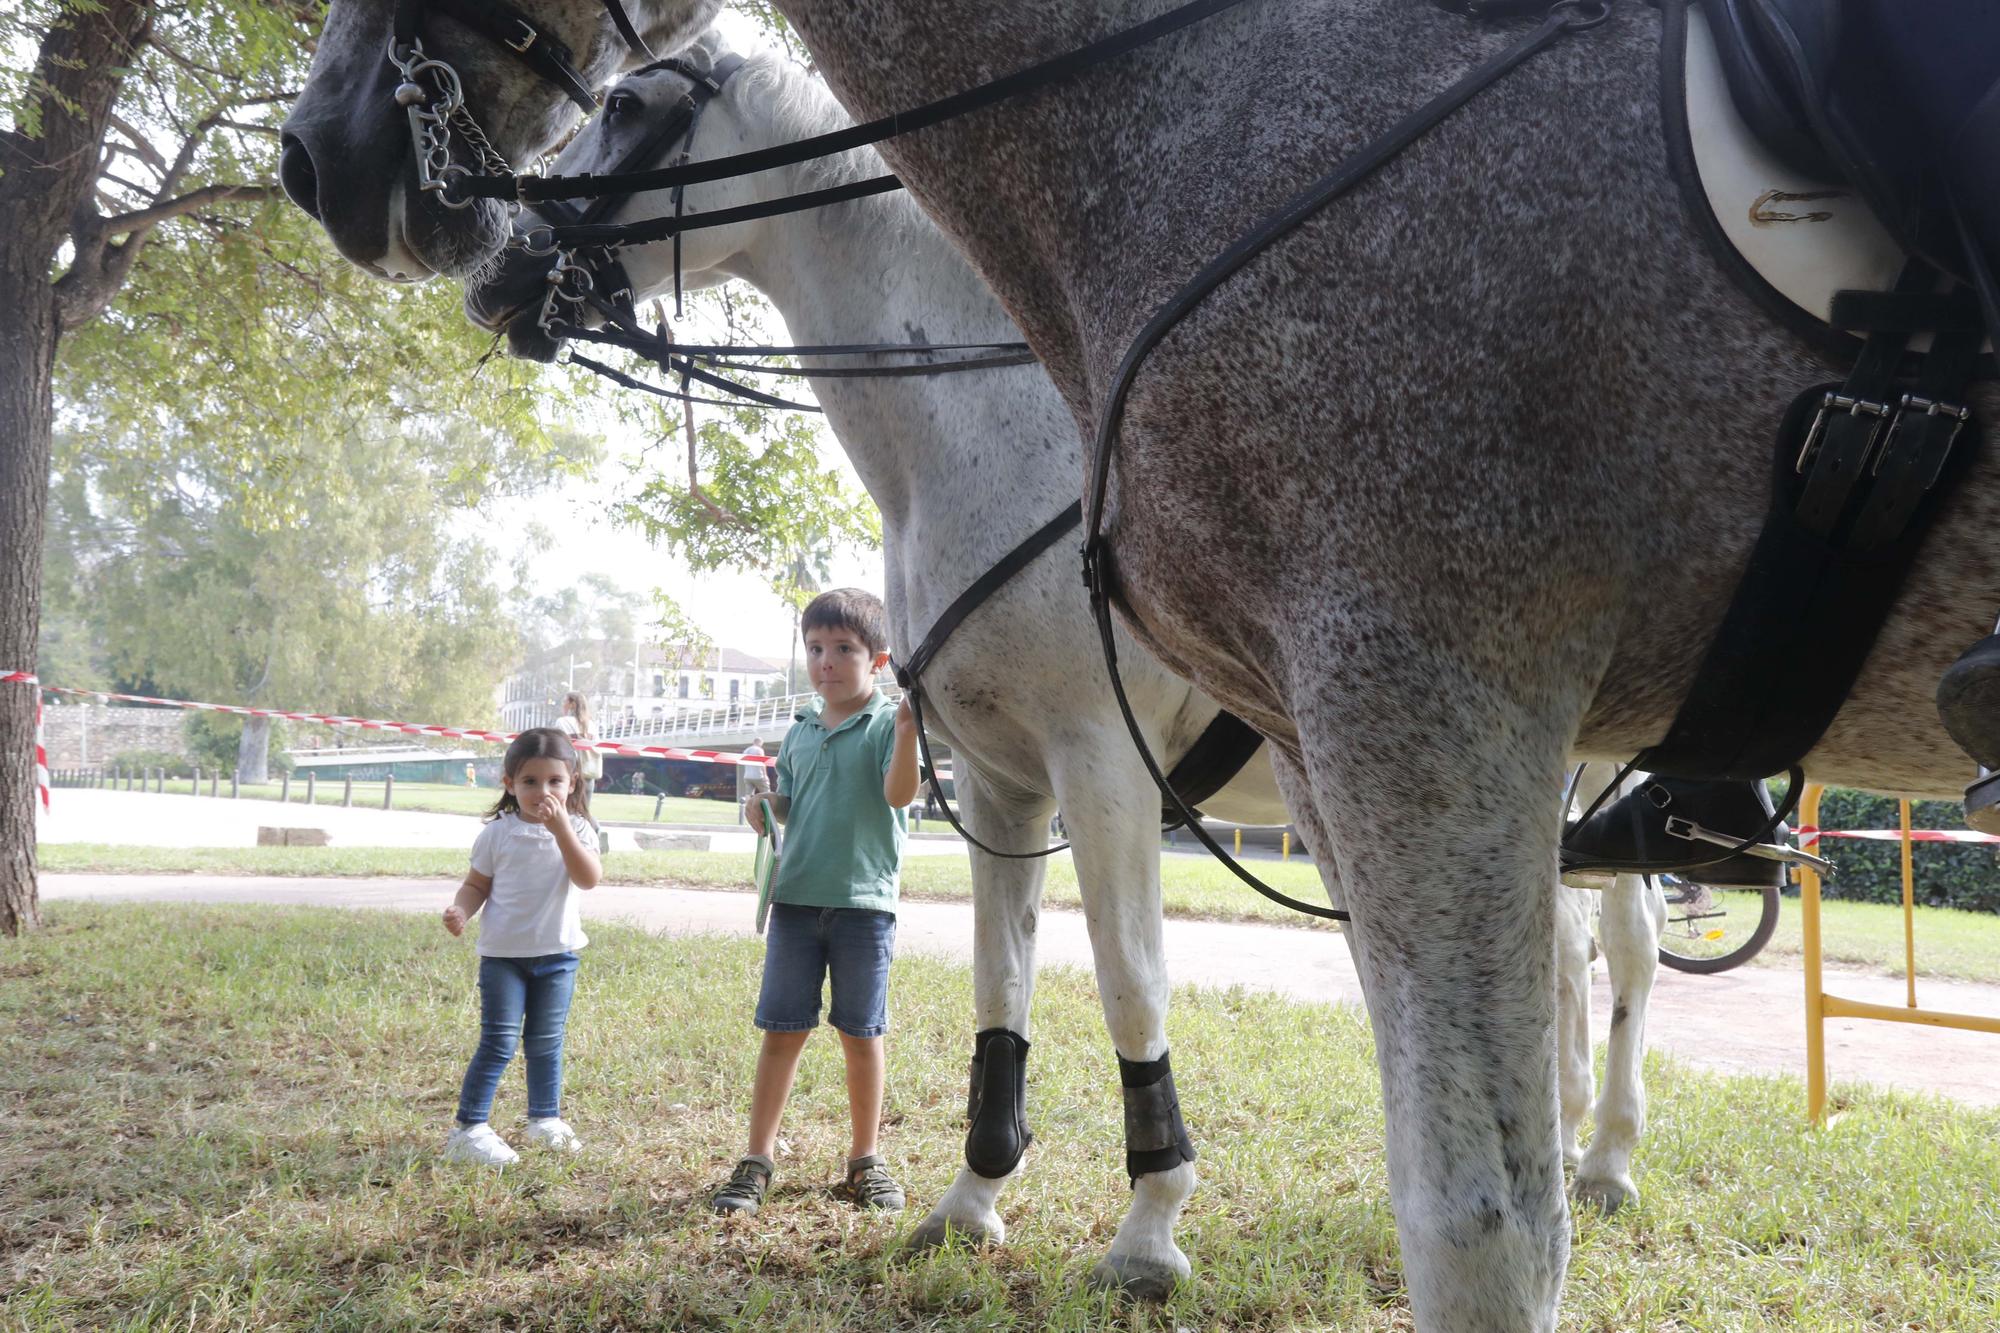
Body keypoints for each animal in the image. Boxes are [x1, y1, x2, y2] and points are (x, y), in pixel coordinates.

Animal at [286, 5, 2000, 1320]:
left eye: (636, 108)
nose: (494, 260)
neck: (988, 421)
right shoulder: (1002, 785)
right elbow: (1000, 989)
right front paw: (973, 1200)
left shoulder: (1124, 767)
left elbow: (1128, 982)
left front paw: (1149, 1228)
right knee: (1580, 964)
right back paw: (1583, 1131)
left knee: (1628, 959)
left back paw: (1613, 1151)